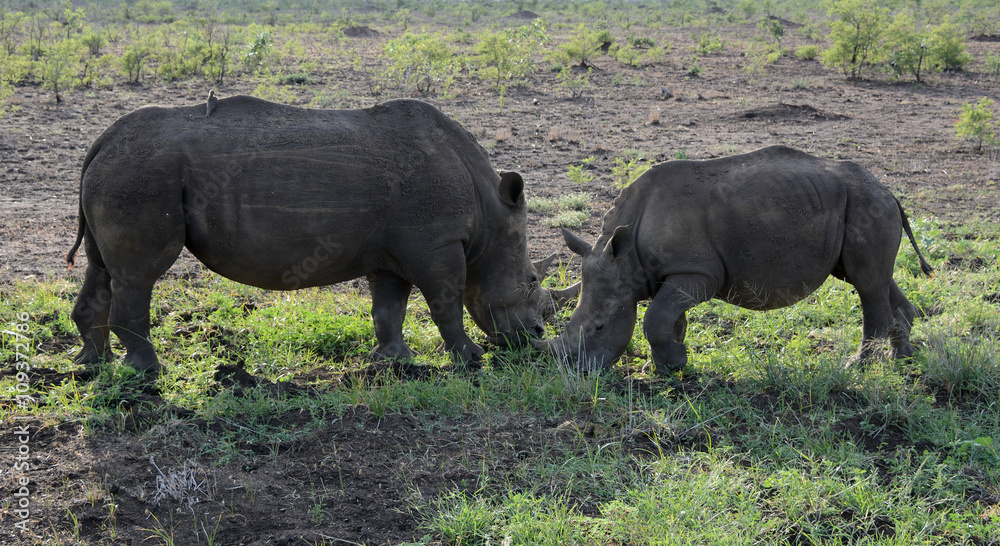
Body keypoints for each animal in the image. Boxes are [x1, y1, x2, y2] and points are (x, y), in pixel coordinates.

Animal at [67, 96, 552, 373]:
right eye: (531, 281)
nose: (535, 336)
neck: (490, 215)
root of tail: (101, 141)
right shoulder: (437, 244)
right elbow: (445, 304)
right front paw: (470, 359)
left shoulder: (393, 250)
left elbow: (388, 308)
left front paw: (395, 362)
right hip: (145, 174)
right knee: (139, 275)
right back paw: (149, 373)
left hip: (124, 170)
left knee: (102, 267)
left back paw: (94, 365)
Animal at [536, 145, 933, 373]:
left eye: (600, 327)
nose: (577, 371)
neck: (625, 257)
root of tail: (888, 190)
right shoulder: (675, 272)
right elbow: (671, 318)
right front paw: (670, 363)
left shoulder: (697, 271)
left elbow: (656, 318)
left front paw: (672, 367)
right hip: (861, 206)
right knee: (872, 279)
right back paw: (902, 359)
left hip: (866, 204)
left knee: (866, 284)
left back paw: (858, 368)